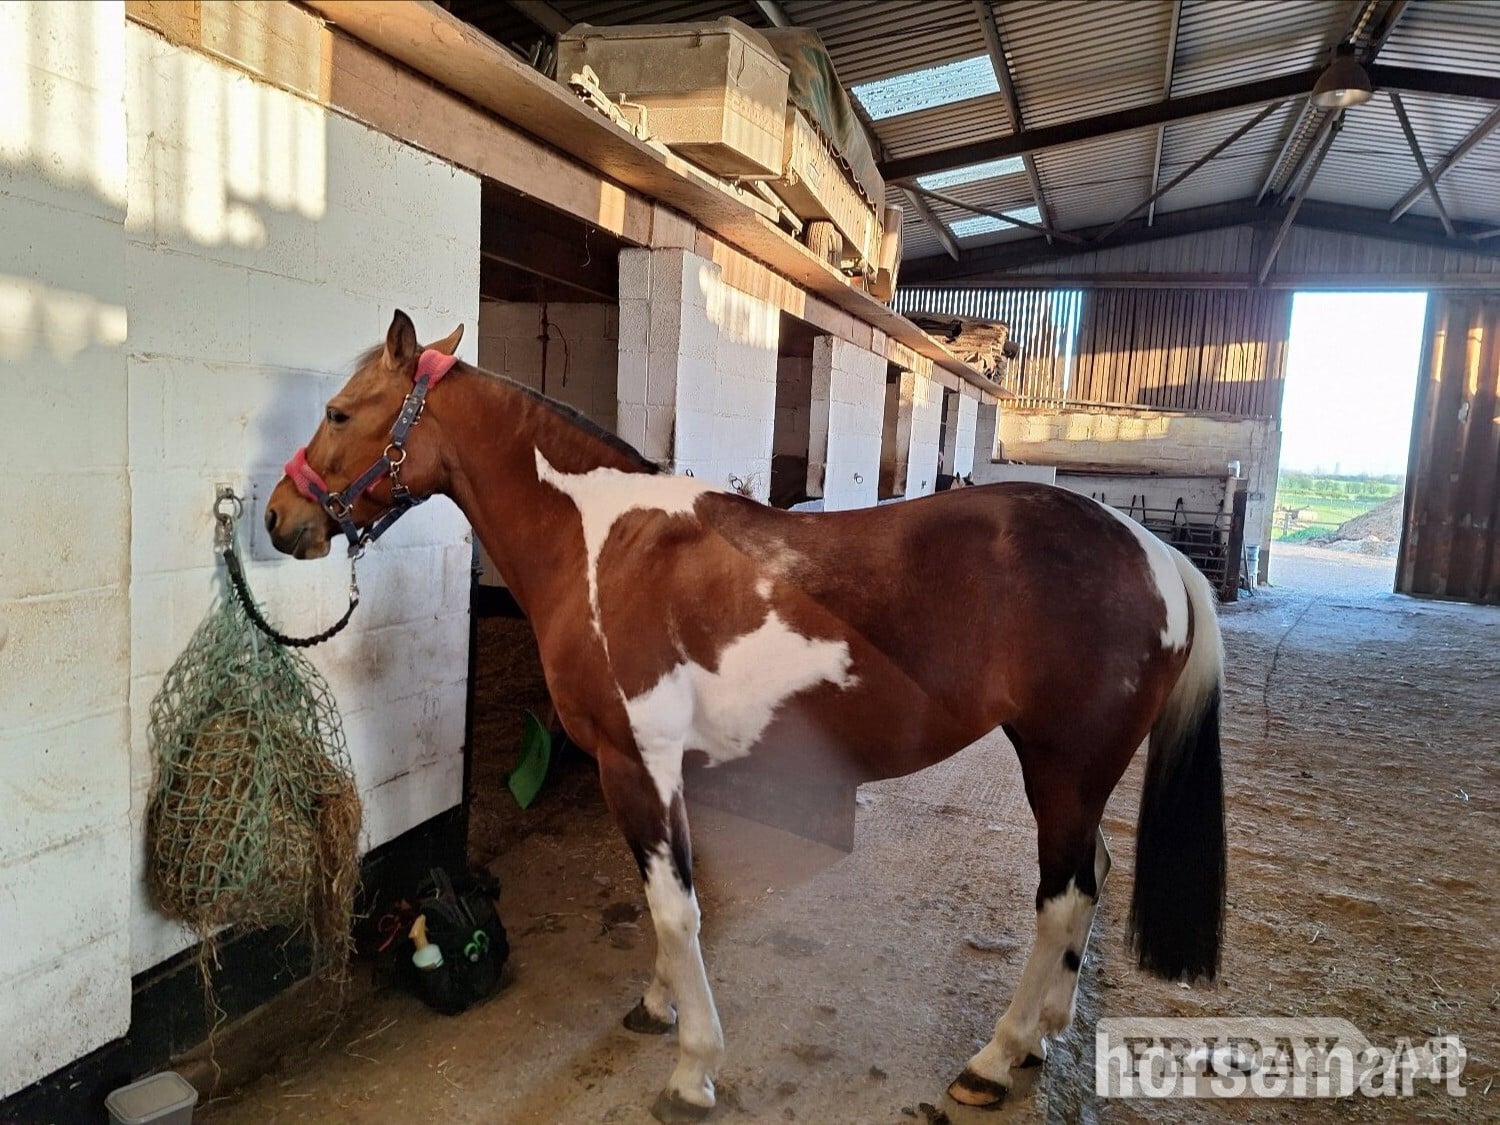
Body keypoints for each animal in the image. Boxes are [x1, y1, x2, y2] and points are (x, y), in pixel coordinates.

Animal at [264, 311, 1227, 1120]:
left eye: (340, 413)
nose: (280, 518)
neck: (601, 544)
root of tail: (1157, 554)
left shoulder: (634, 763)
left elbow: (674, 908)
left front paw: (693, 1067)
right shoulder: (664, 771)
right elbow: (671, 902)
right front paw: (659, 1005)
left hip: (1061, 769)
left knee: (1064, 899)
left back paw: (994, 1058)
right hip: (1075, 778)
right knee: (1092, 877)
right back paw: (1041, 1039)